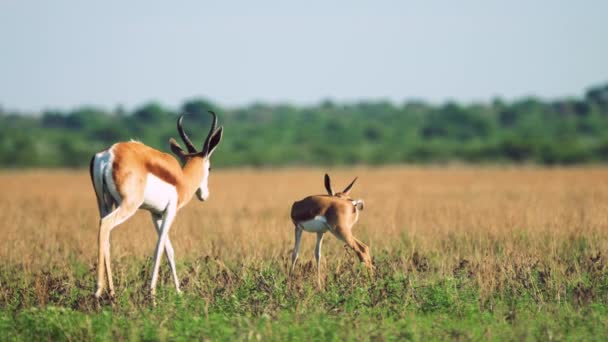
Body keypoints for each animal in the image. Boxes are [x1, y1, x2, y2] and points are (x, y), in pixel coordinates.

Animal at [90, 111, 223, 298]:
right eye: (210, 168)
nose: (204, 195)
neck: (180, 180)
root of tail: (108, 154)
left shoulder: (156, 214)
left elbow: (169, 250)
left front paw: (178, 291)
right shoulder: (170, 211)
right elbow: (159, 248)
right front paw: (152, 293)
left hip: (104, 203)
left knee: (106, 236)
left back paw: (112, 292)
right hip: (128, 205)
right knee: (105, 224)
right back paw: (98, 290)